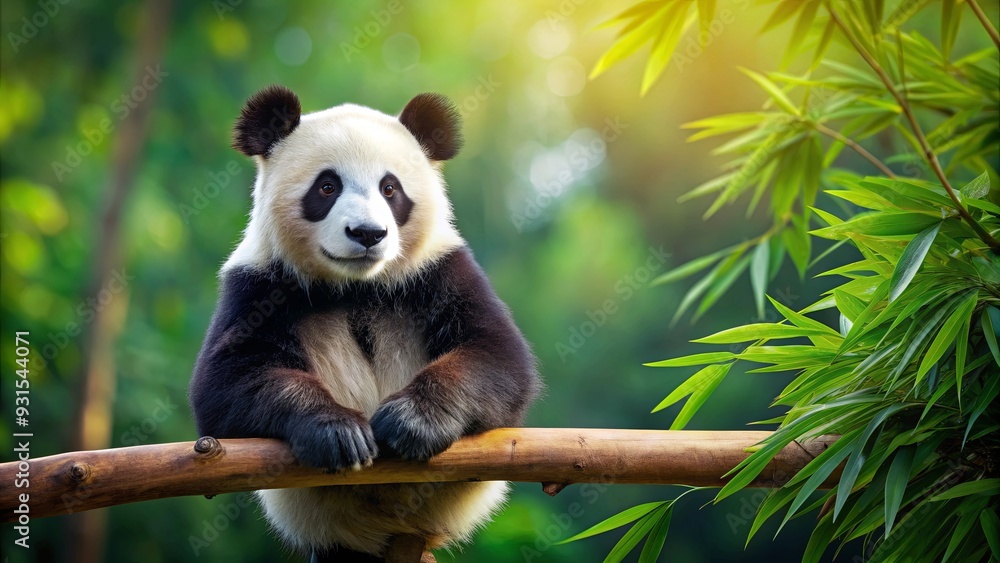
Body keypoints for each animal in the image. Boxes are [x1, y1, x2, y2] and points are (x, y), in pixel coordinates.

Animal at [189, 85, 541, 562]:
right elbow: (225, 381)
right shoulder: (257, 283)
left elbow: (498, 356)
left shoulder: (440, 268)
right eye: (327, 186)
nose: (368, 233)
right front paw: (338, 433)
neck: (357, 284)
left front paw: (411, 420)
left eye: (390, 188)